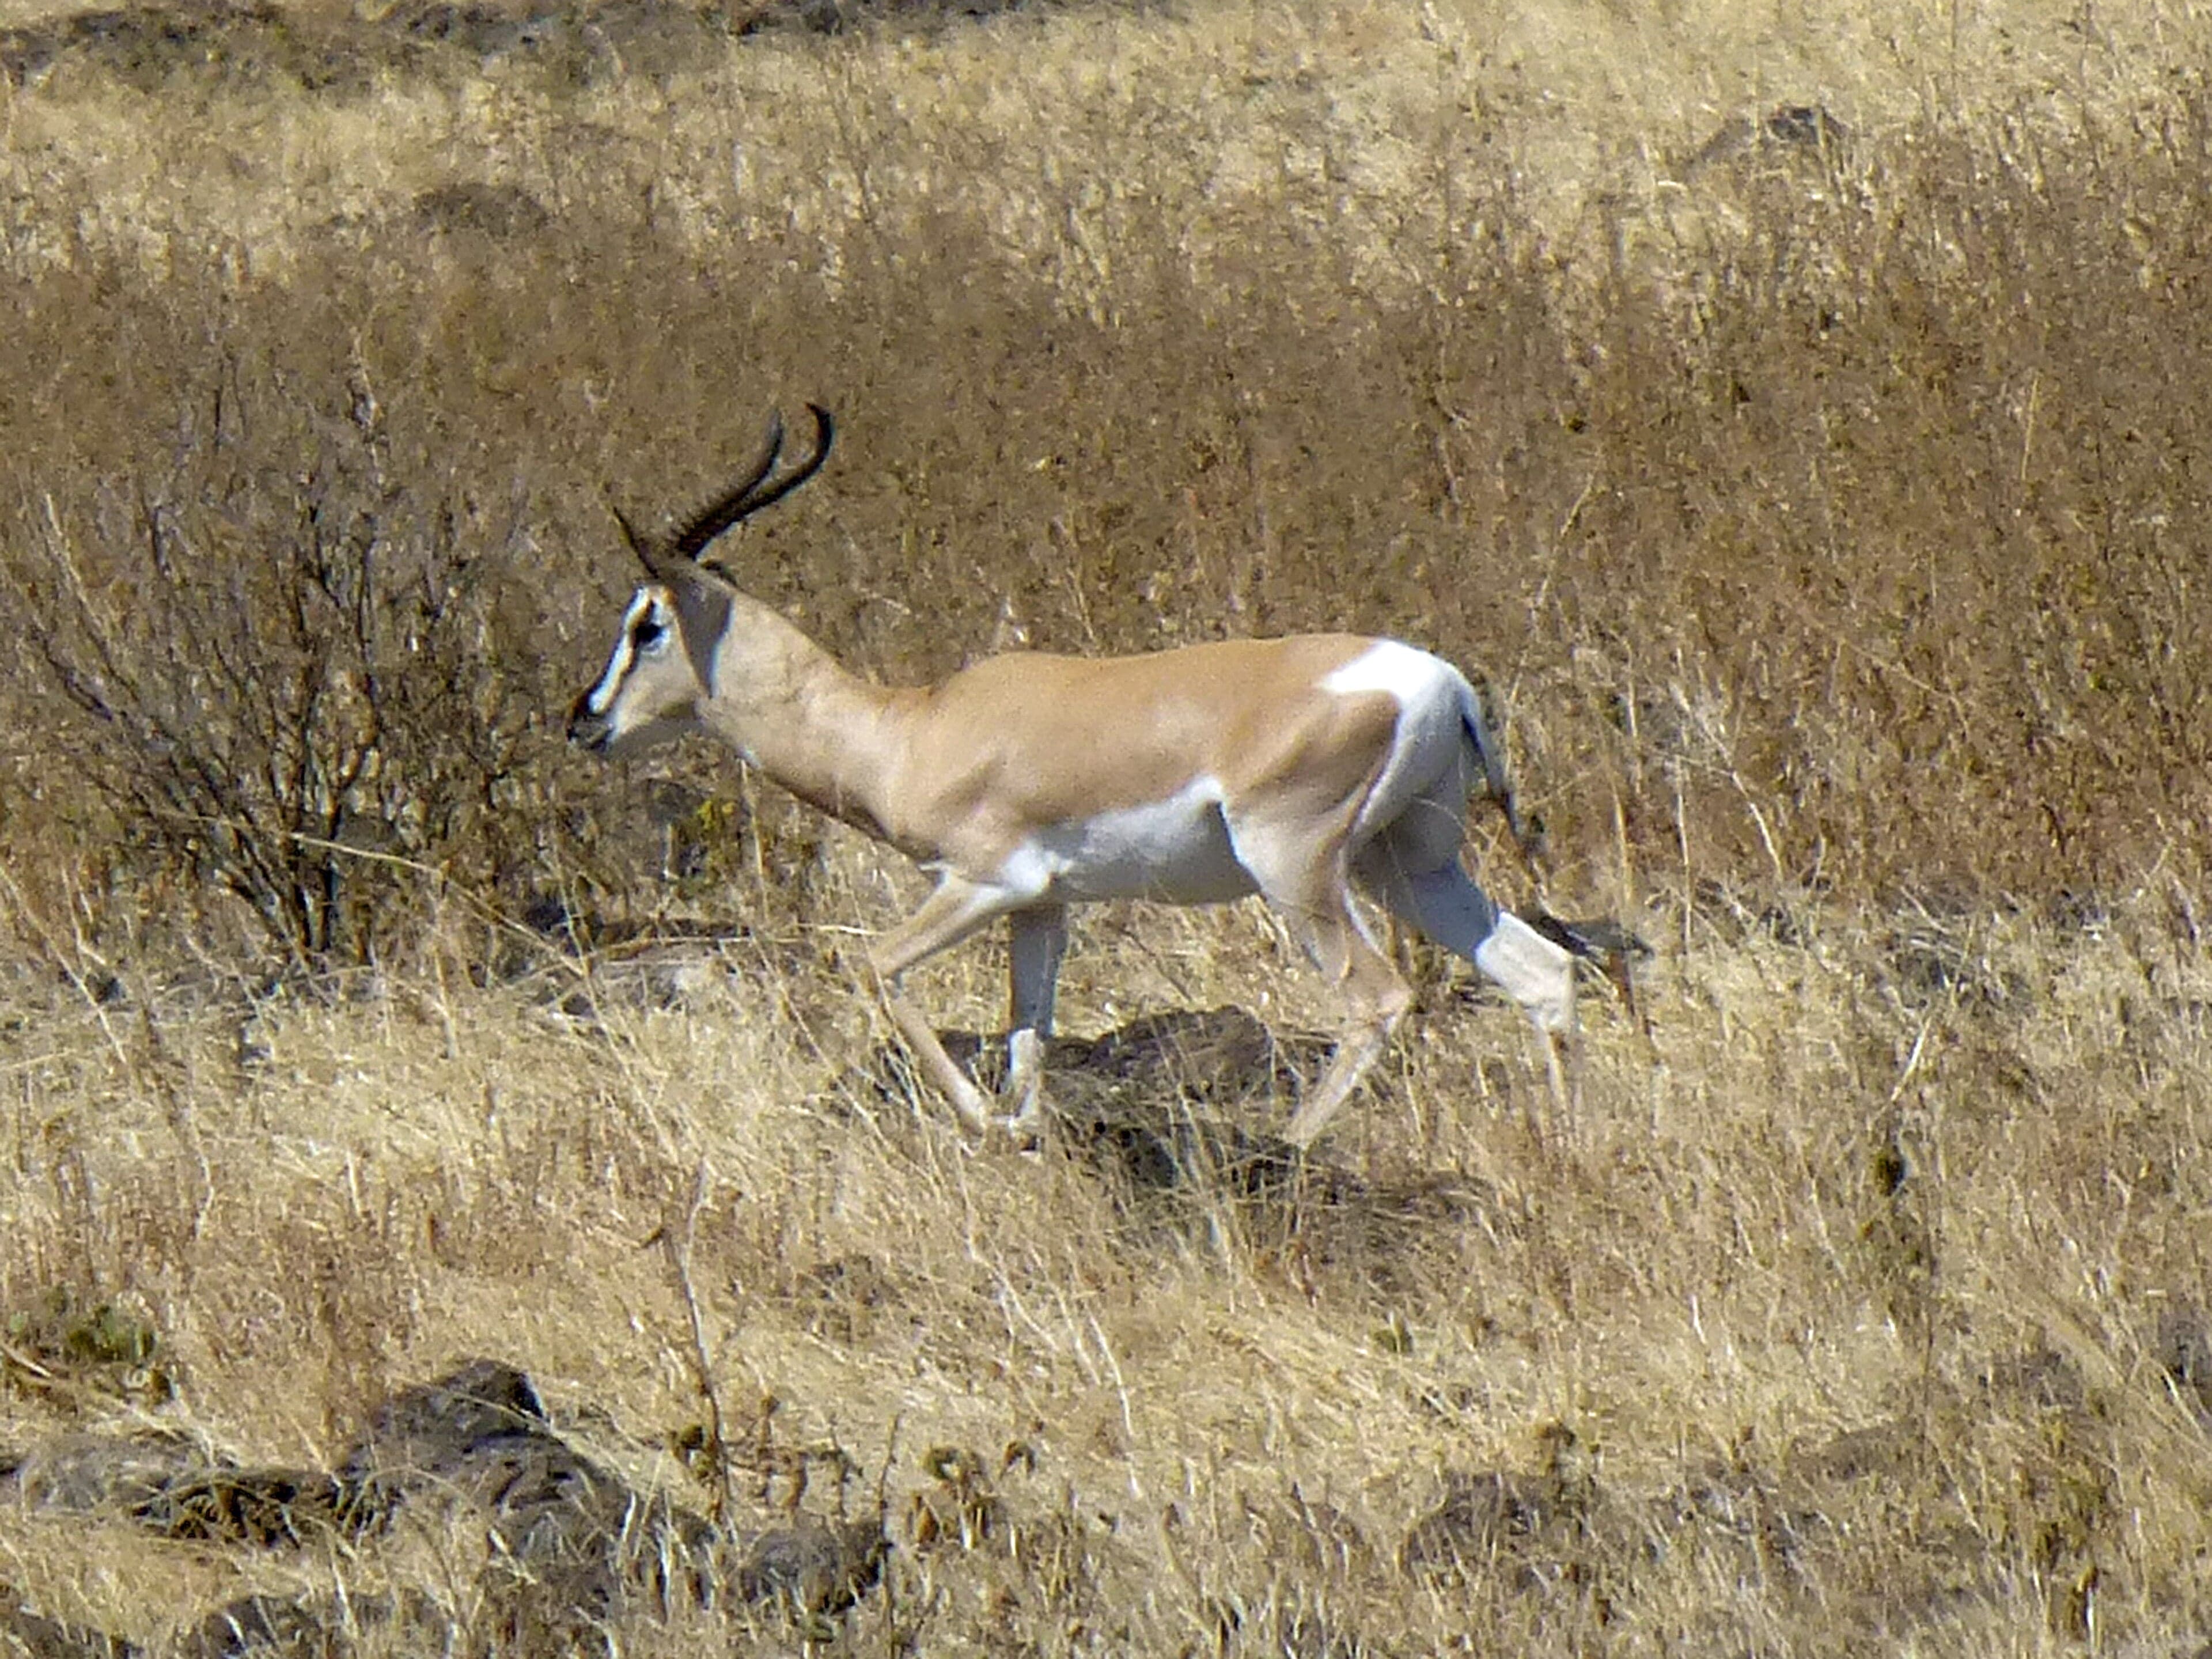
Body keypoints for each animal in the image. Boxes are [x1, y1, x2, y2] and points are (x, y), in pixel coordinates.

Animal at [567, 407, 1577, 1146]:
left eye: (646, 624)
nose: (586, 720)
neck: (911, 729)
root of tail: (1444, 682)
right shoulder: (1045, 907)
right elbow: (1029, 1033)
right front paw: (1021, 1133)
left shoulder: (984, 884)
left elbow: (877, 968)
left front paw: (985, 1125)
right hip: (1406, 862)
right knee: (1543, 971)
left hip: (1297, 871)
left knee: (1379, 998)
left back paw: (1290, 1147)